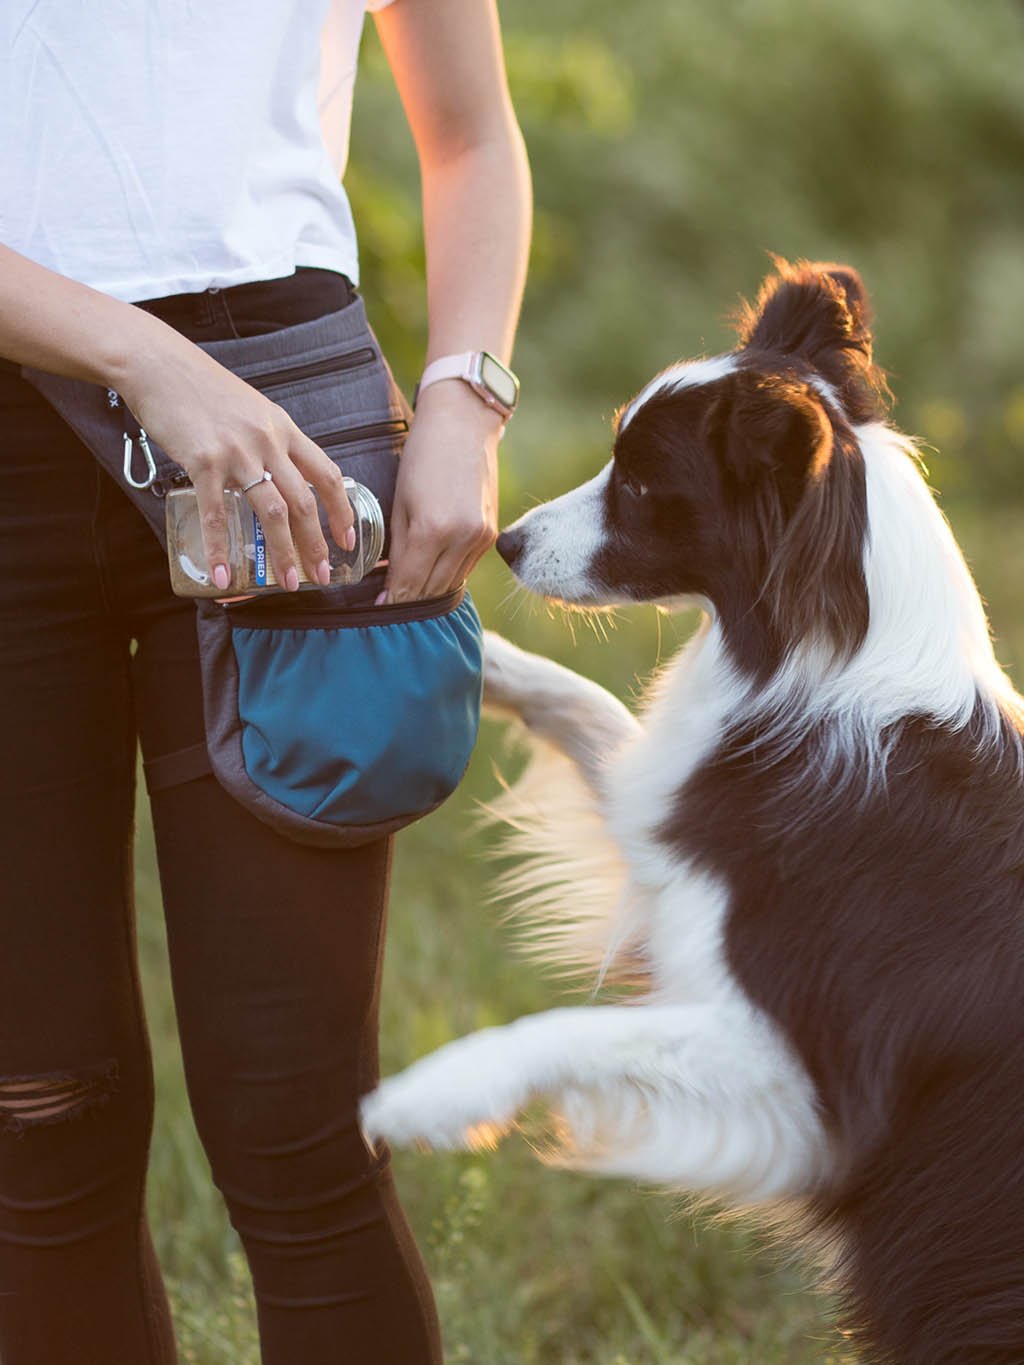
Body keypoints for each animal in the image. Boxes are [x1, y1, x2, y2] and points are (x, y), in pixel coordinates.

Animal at [363, 260, 1024, 1359]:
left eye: (638, 482)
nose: (505, 542)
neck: (835, 652)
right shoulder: (676, 840)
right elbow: (593, 717)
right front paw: (475, 653)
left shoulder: (805, 1082)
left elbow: (575, 1031)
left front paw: (432, 1092)